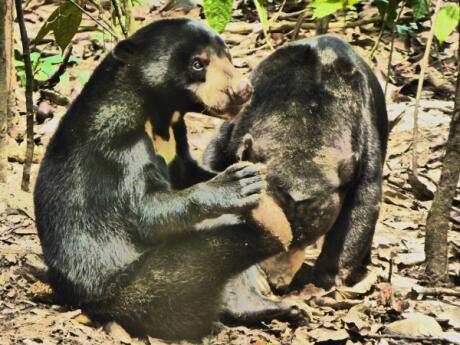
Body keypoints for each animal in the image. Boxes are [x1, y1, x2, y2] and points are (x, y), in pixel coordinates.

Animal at [35, 18, 292, 338]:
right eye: (198, 64)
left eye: (228, 56)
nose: (243, 90)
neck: (158, 117)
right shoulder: (118, 148)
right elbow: (147, 211)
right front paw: (237, 184)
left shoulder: (177, 141)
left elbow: (188, 171)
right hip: (132, 287)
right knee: (199, 259)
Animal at [205, 35, 388, 290]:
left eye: (305, 238)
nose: (277, 283)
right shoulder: (238, 127)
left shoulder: (364, 137)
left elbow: (364, 203)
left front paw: (329, 277)